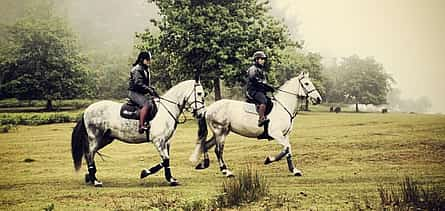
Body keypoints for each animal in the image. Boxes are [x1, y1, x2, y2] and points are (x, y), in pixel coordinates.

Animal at [71, 79, 205, 186]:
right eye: (199, 93)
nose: (201, 114)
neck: (165, 110)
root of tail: (87, 110)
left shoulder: (166, 142)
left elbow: (165, 161)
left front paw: (150, 173)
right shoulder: (158, 141)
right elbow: (166, 160)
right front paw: (167, 179)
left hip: (105, 139)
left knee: (89, 154)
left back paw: (90, 177)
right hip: (95, 138)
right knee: (90, 155)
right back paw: (95, 181)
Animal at [189, 72, 320, 176]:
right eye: (307, 84)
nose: (318, 99)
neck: (282, 107)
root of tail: (209, 108)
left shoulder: (285, 135)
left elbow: (288, 150)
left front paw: (294, 170)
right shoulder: (276, 134)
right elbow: (286, 149)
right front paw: (269, 159)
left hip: (220, 132)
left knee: (206, 145)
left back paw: (204, 164)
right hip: (220, 132)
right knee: (218, 150)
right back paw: (225, 171)